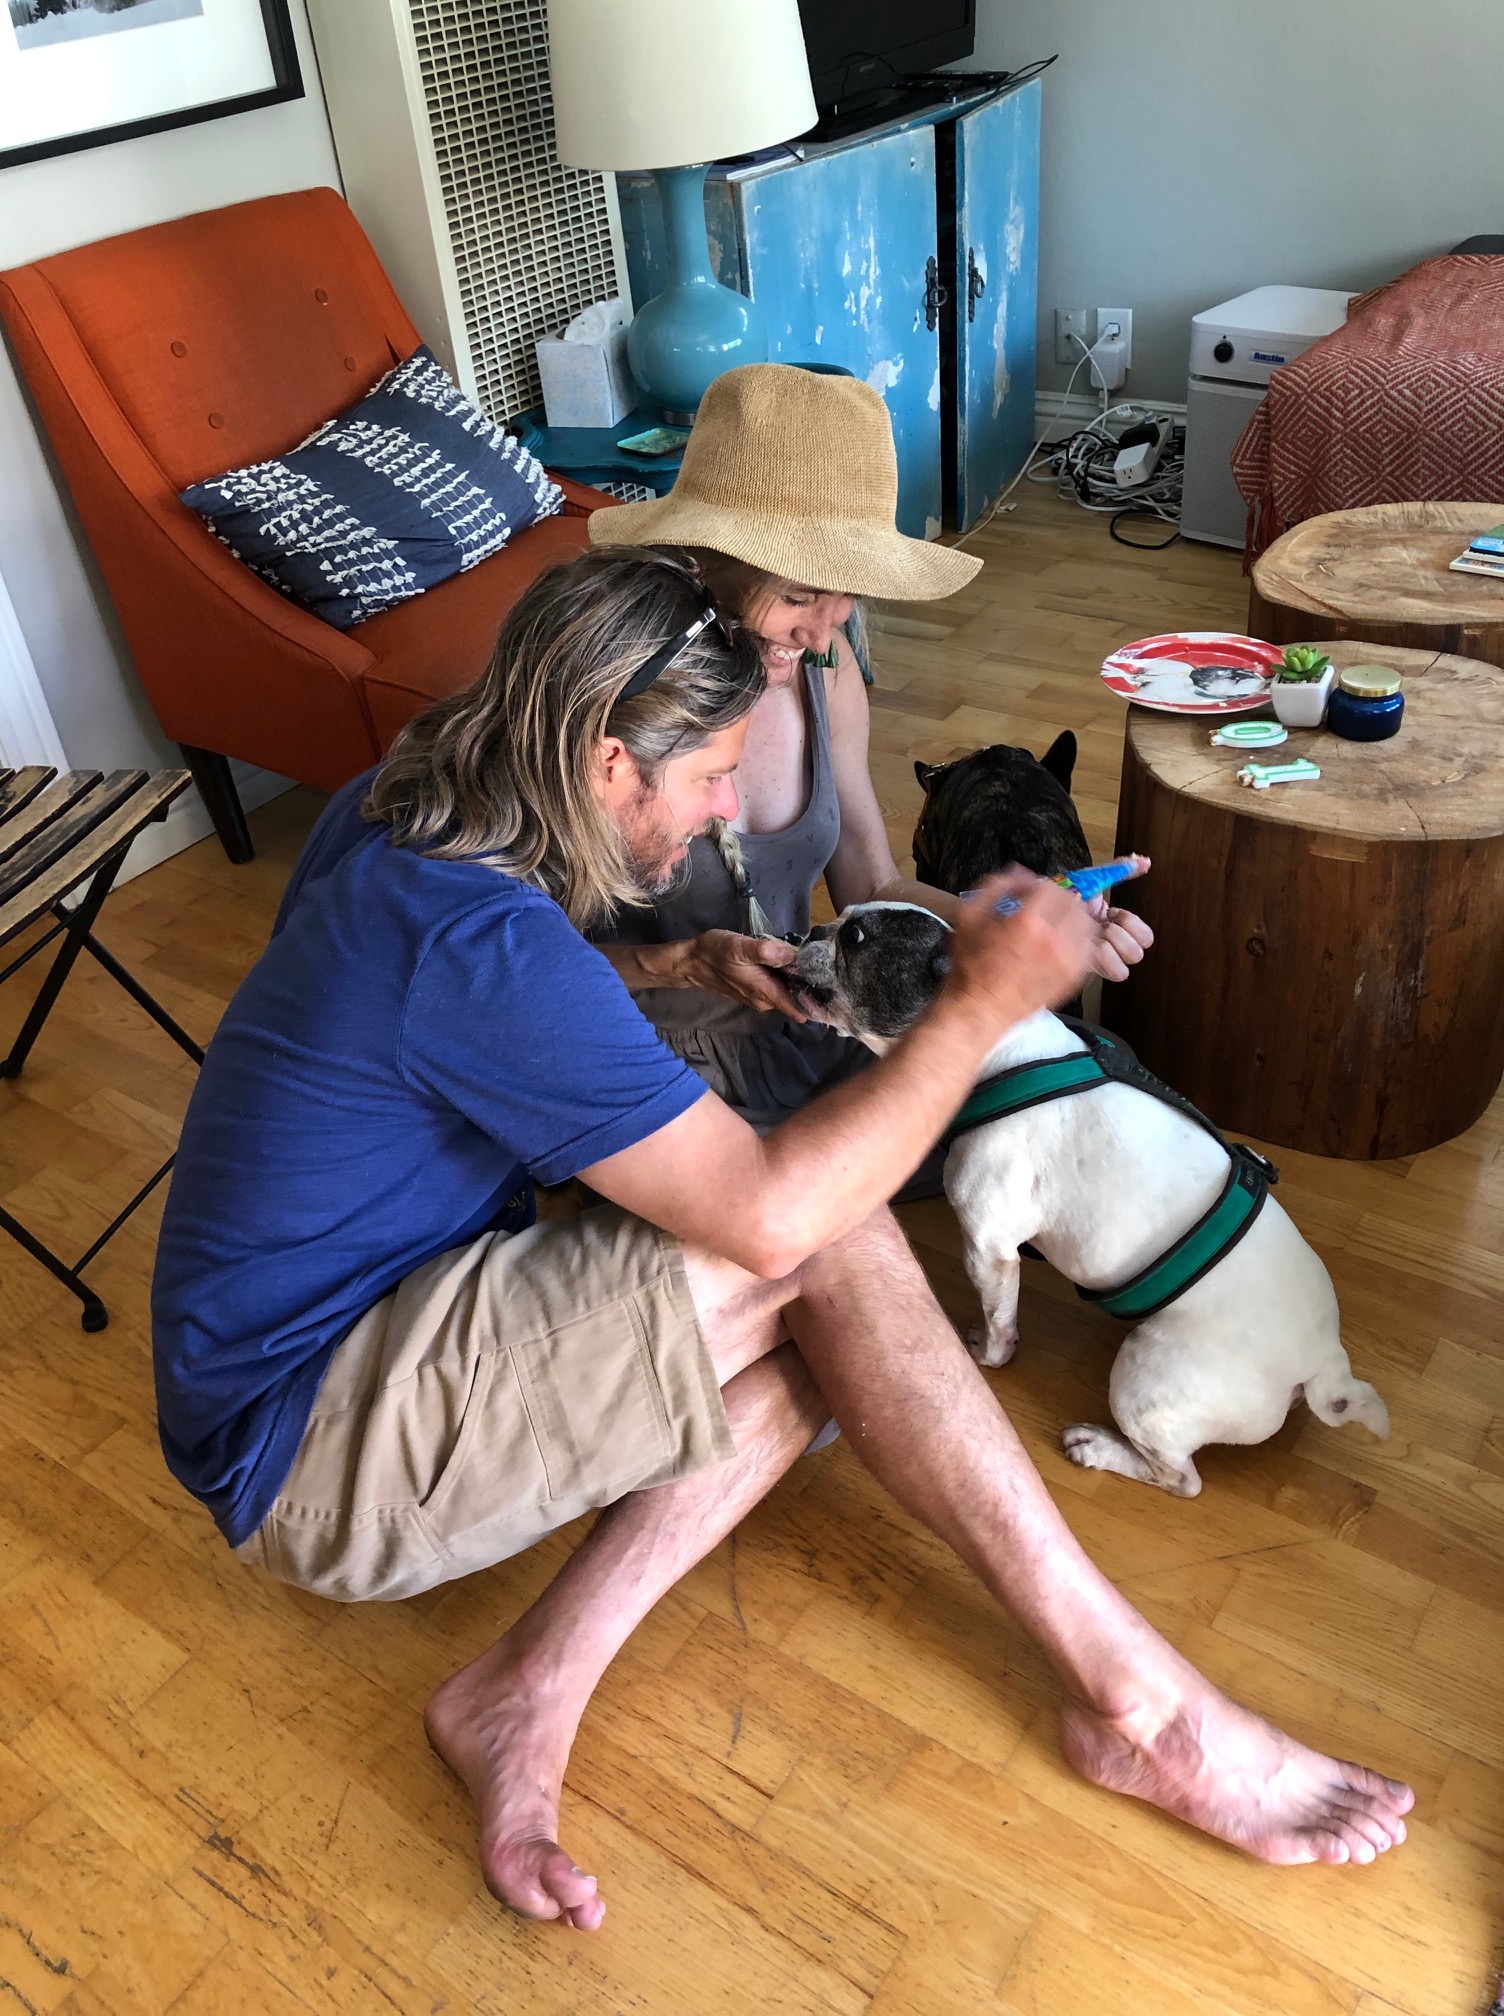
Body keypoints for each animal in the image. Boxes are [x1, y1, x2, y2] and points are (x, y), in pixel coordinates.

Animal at [790, 903, 1389, 1496]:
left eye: (855, 938)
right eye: (842, 919)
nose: (811, 928)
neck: (995, 1049)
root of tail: (1323, 1364)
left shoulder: (989, 1250)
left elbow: (999, 1318)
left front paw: (989, 1353)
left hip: (1146, 1380)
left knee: (1180, 1478)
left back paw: (1102, 1449)